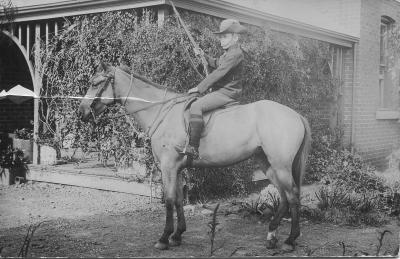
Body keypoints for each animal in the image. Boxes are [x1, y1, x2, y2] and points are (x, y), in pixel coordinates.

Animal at [76, 62, 310, 253]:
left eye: (95, 83)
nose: (82, 112)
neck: (162, 111)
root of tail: (296, 115)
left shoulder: (168, 167)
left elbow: (169, 200)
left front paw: (164, 238)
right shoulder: (177, 169)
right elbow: (179, 199)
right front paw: (177, 235)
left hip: (280, 165)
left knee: (293, 196)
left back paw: (290, 240)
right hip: (267, 163)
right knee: (284, 196)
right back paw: (271, 236)